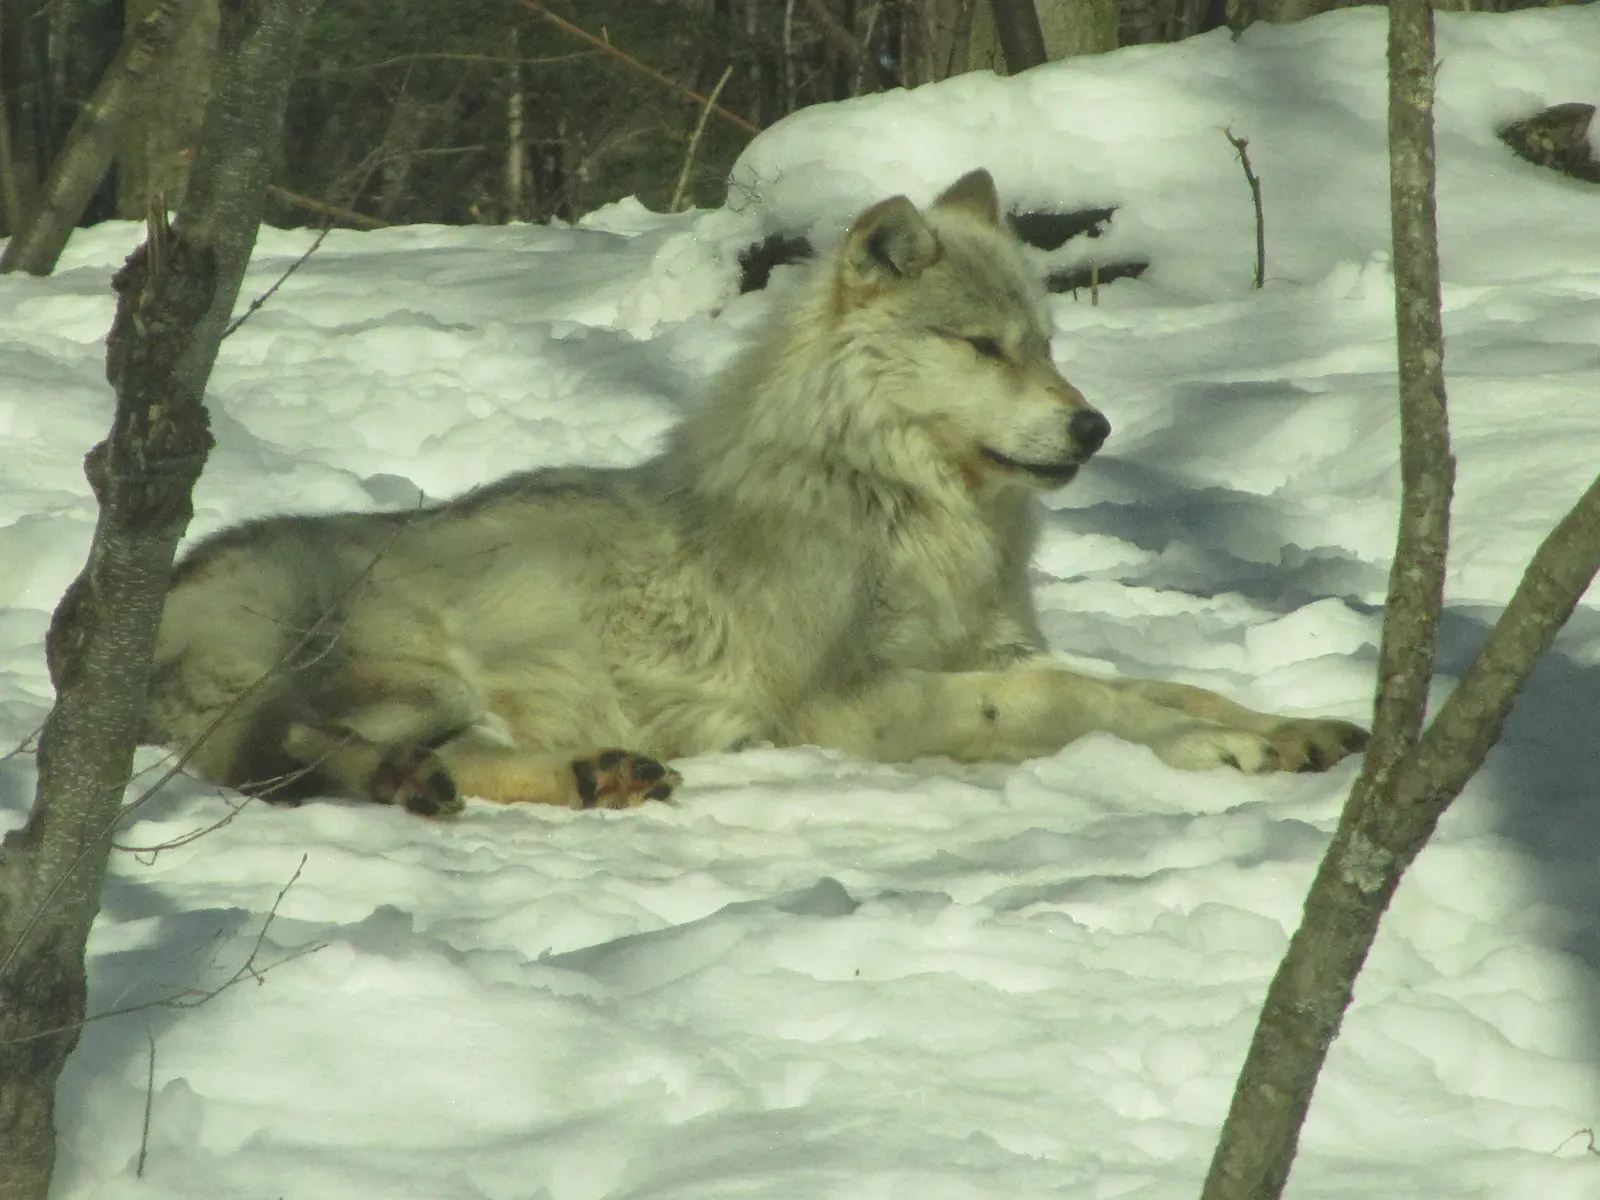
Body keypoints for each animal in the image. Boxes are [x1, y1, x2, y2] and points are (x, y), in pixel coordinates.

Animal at [142, 169, 1368, 817]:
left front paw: (1284, 728)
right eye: (983, 348)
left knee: (435, 761)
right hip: (405, 668)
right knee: (285, 755)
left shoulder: (993, 649)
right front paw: (1210, 753)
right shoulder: (847, 705)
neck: (908, 515)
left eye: (1049, 348)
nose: (1095, 426)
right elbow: (1081, 698)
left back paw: (592, 775)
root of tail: (158, 590)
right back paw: (416, 777)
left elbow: (1169, 682)